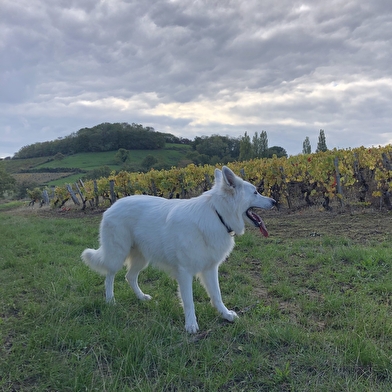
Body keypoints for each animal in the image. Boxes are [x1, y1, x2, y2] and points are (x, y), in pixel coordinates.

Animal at [81, 165, 274, 330]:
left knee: (130, 277)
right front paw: (191, 325)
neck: (217, 213)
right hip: (117, 254)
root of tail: (112, 207)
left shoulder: (210, 268)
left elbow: (217, 296)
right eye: (255, 192)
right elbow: (189, 301)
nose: (274, 201)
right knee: (109, 276)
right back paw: (110, 301)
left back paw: (141, 297)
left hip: (141, 258)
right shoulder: (185, 273)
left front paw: (225, 315)